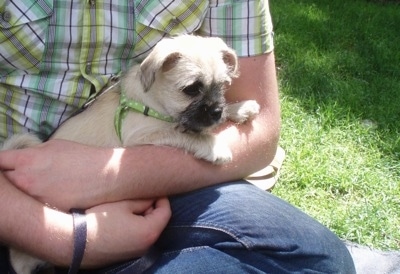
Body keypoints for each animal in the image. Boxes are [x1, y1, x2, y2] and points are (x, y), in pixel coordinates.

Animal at [2, 34, 260, 272]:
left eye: (223, 86)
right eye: (191, 89)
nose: (216, 112)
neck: (152, 101)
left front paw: (239, 108)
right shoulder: (145, 136)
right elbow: (187, 133)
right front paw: (215, 147)